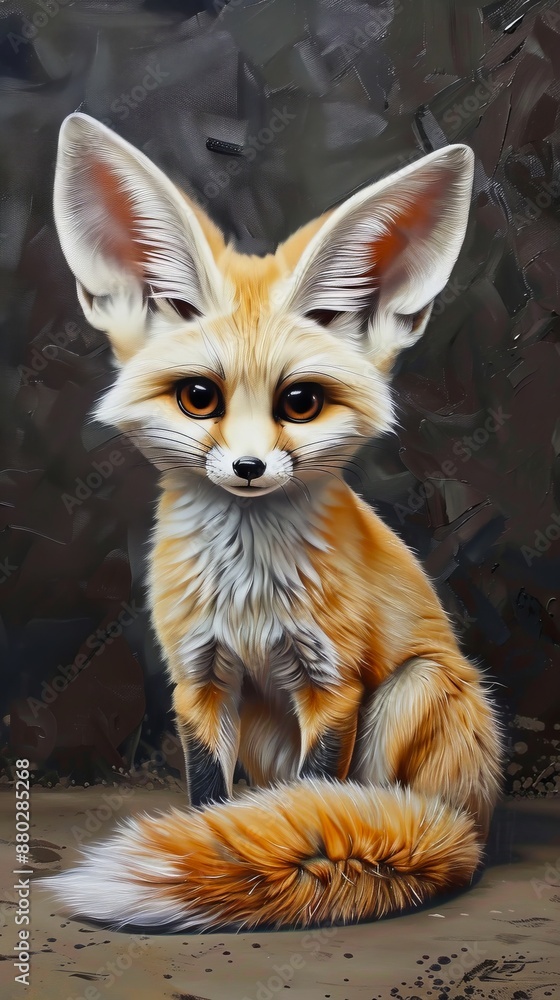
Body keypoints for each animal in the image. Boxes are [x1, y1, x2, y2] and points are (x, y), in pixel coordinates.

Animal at [43, 112, 501, 931]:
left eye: (300, 403)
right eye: (199, 397)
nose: (250, 469)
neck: (248, 593)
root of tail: (470, 829)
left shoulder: (334, 682)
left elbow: (320, 787)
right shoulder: (196, 679)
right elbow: (208, 797)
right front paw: (212, 842)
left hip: (415, 685)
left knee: (373, 801)